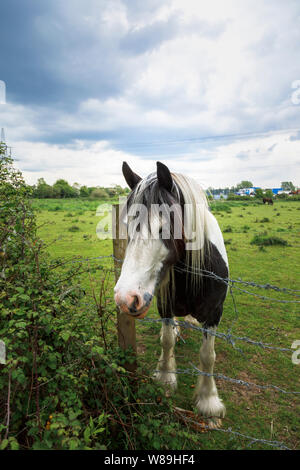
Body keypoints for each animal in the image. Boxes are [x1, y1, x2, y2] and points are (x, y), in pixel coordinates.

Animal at [113, 161, 229, 426]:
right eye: (127, 225)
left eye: (163, 226)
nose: (125, 298)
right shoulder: (164, 306)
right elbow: (166, 341)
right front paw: (166, 378)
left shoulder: (214, 314)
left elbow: (208, 356)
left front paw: (208, 402)